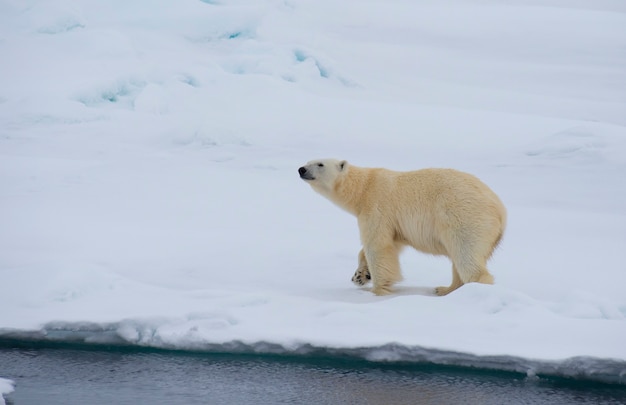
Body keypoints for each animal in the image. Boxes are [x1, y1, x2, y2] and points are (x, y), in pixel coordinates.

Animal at [294, 159, 504, 296]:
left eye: (320, 164)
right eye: (308, 160)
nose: (301, 169)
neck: (363, 188)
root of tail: (501, 211)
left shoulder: (377, 206)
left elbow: (377, 246)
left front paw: (377, 289)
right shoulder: (394, 223)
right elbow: (390, 244)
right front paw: (360, 275)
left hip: (464, 217)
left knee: (465, 254)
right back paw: (445, 289)